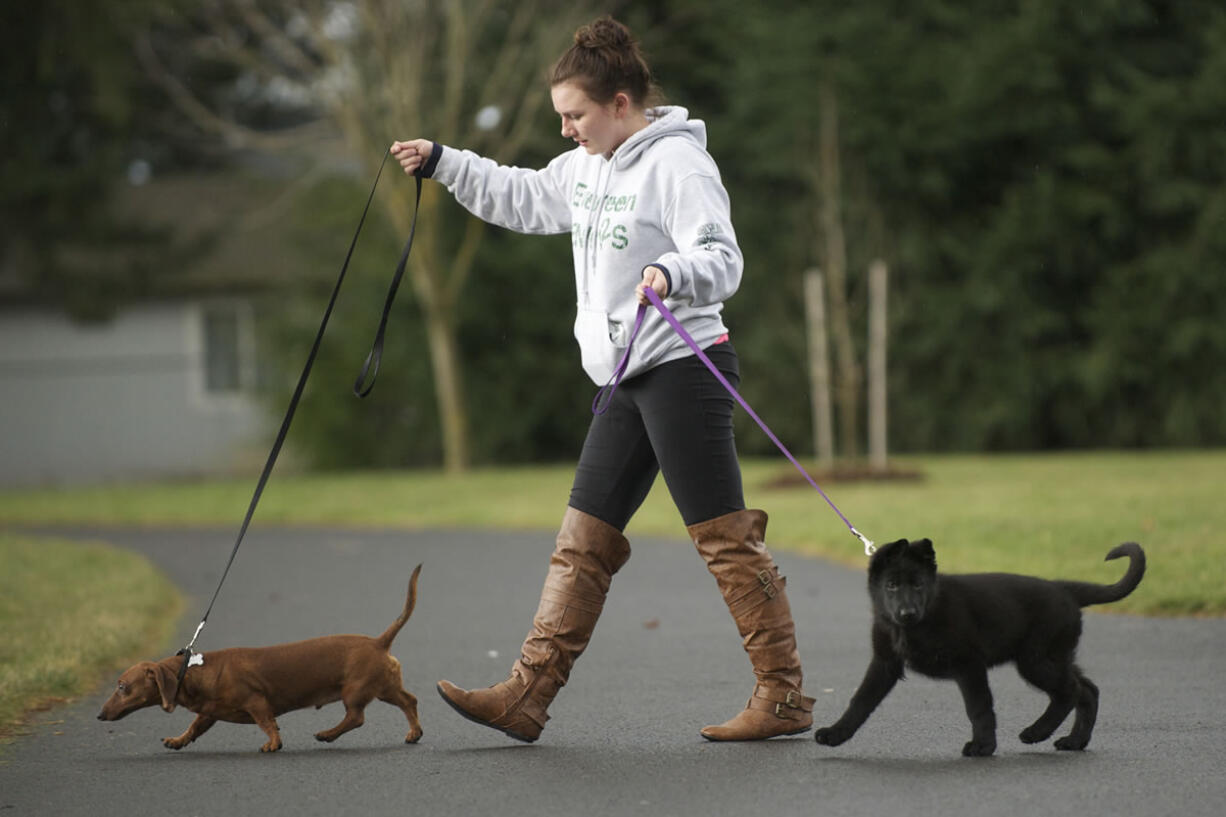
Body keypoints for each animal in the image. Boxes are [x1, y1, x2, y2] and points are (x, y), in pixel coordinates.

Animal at [818, 537, 1142, 755]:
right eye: (892, 585)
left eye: (919, 584)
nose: (907, 613)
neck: (919, 621)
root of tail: (1065, 589)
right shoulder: (884, 663)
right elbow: (860, 701)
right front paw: (836, 733)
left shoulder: (969, 664)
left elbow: (979, 707)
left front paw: (983, 746)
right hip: (1055, 657)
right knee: (1087, 689)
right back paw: (1075, 741)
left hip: (1036, 660)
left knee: (1070, 691)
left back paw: (1036, 732)